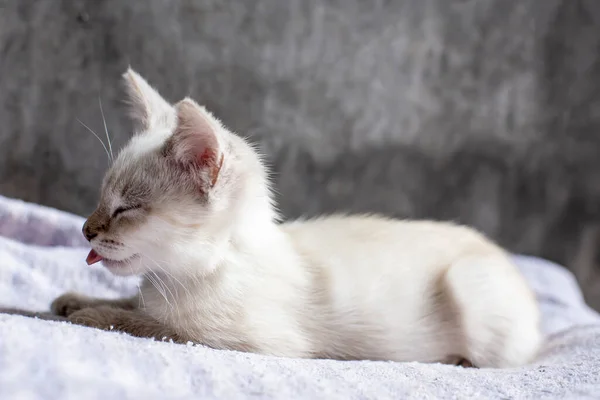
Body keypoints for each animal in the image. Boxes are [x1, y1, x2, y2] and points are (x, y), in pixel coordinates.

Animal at [50, 67, 540, 368]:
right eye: (101, 199)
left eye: (125, 208)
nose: (85, 230)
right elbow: (131, 304)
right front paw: (75, 299)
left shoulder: (254, 343)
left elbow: (151, 325)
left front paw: (88, 315)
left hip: (470, 291)